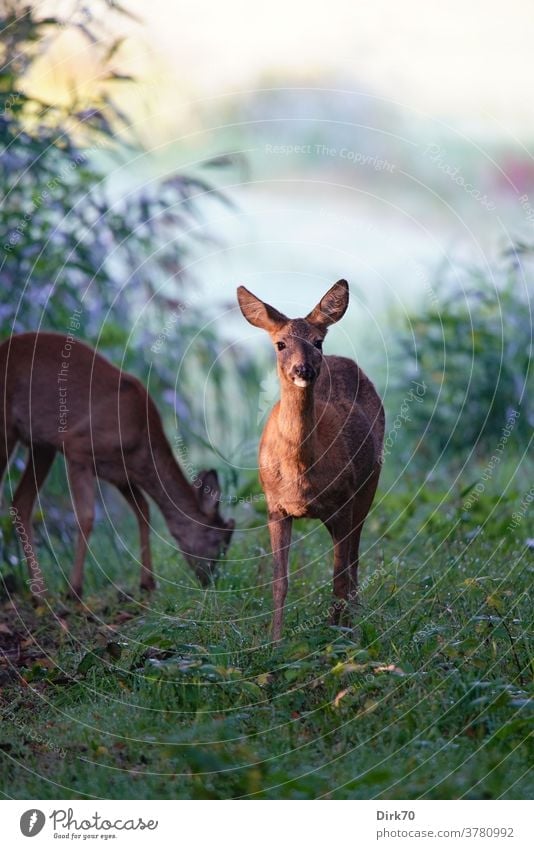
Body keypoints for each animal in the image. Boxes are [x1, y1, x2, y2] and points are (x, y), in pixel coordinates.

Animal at [0, 332, 234, 596]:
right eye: (219, 542)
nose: (211, 581)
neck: (139, 441)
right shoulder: (77, 447)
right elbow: (87, 516)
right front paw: (74, 589)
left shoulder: (121, 474)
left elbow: (143, 510)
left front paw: (147, 582)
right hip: (7, 427)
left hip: (41, 444)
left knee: (21, 502)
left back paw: (39, 592)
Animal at [239, 282, 386, 640]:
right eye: (280, 344)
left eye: (317, 341)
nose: (303, 370)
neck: (300, 475)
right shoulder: (274, 506)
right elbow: (279, 581)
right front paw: (274, 641)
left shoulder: (344, 499)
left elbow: (339, 577)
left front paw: (339, 637)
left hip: (368, 482)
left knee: (353, 560)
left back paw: (352, 621)